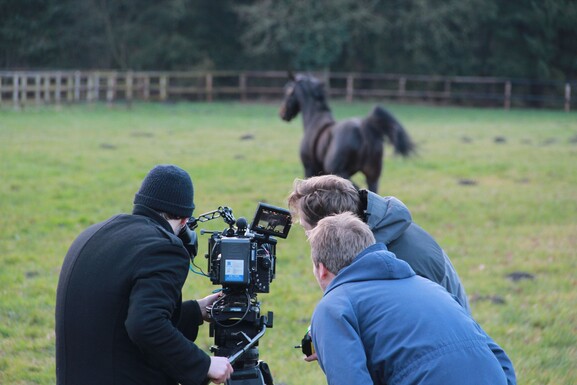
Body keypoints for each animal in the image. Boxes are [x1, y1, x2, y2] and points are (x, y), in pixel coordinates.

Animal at [280, 72, 414, 192]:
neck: (314, 119)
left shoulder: (309, 169)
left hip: (341, 173)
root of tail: (364, 128)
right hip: (372, 176)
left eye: (288, 91)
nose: (282, 113)